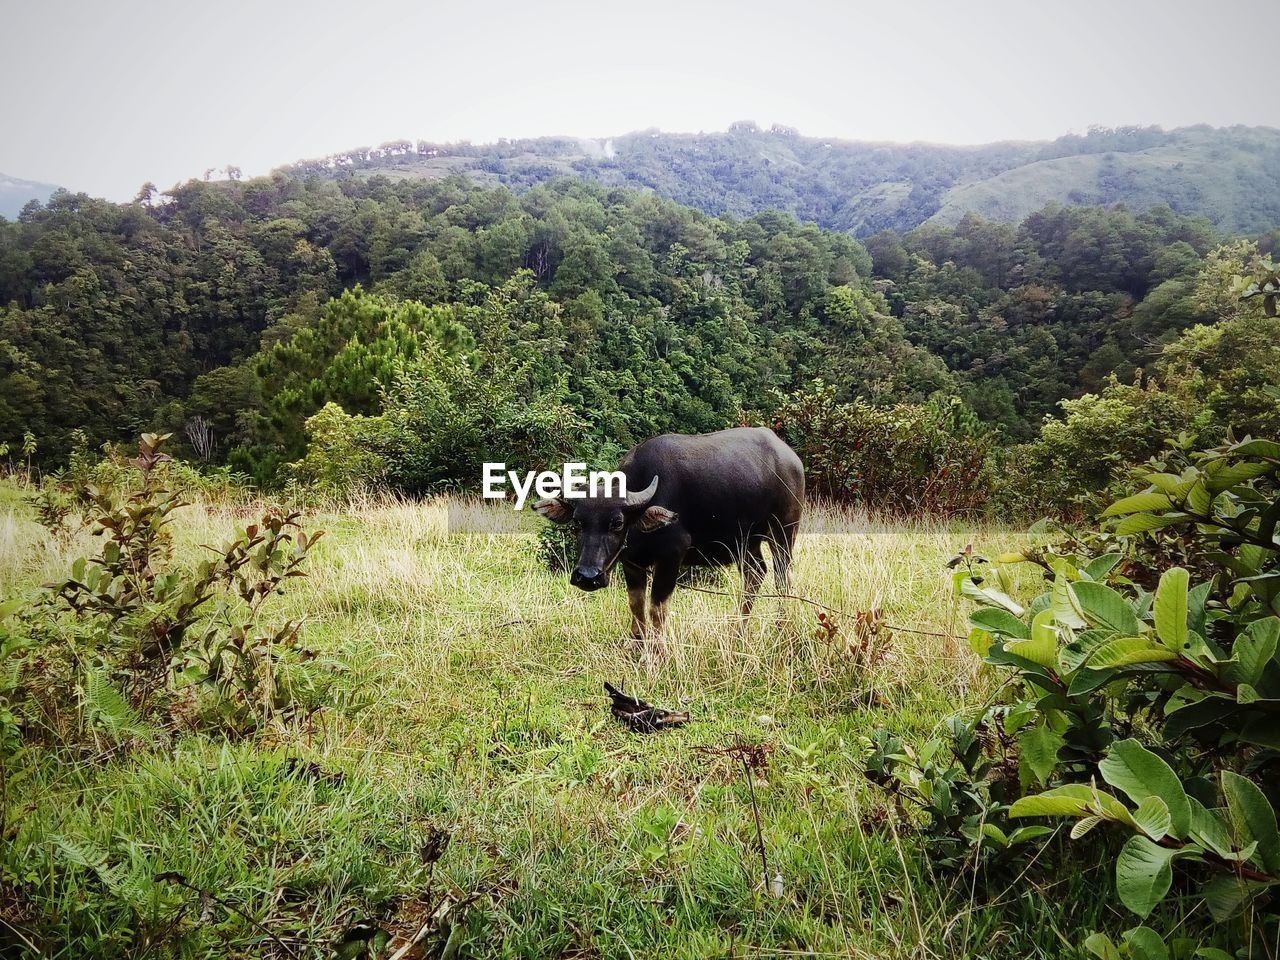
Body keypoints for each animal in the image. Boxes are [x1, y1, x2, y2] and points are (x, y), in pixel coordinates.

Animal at [535, 430, 803, 650]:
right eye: (578, 522)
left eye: (617, 523)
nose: (588, 577)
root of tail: (791, 458)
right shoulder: (631, 561)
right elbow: (636, 603)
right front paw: (636, 643)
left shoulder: (672, 556)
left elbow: (657, 607)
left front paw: (655, 652)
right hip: (745, 542)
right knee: (755, 573)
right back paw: (736, 632)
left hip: (784, 532)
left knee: (783, 577)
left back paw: (782, 626)